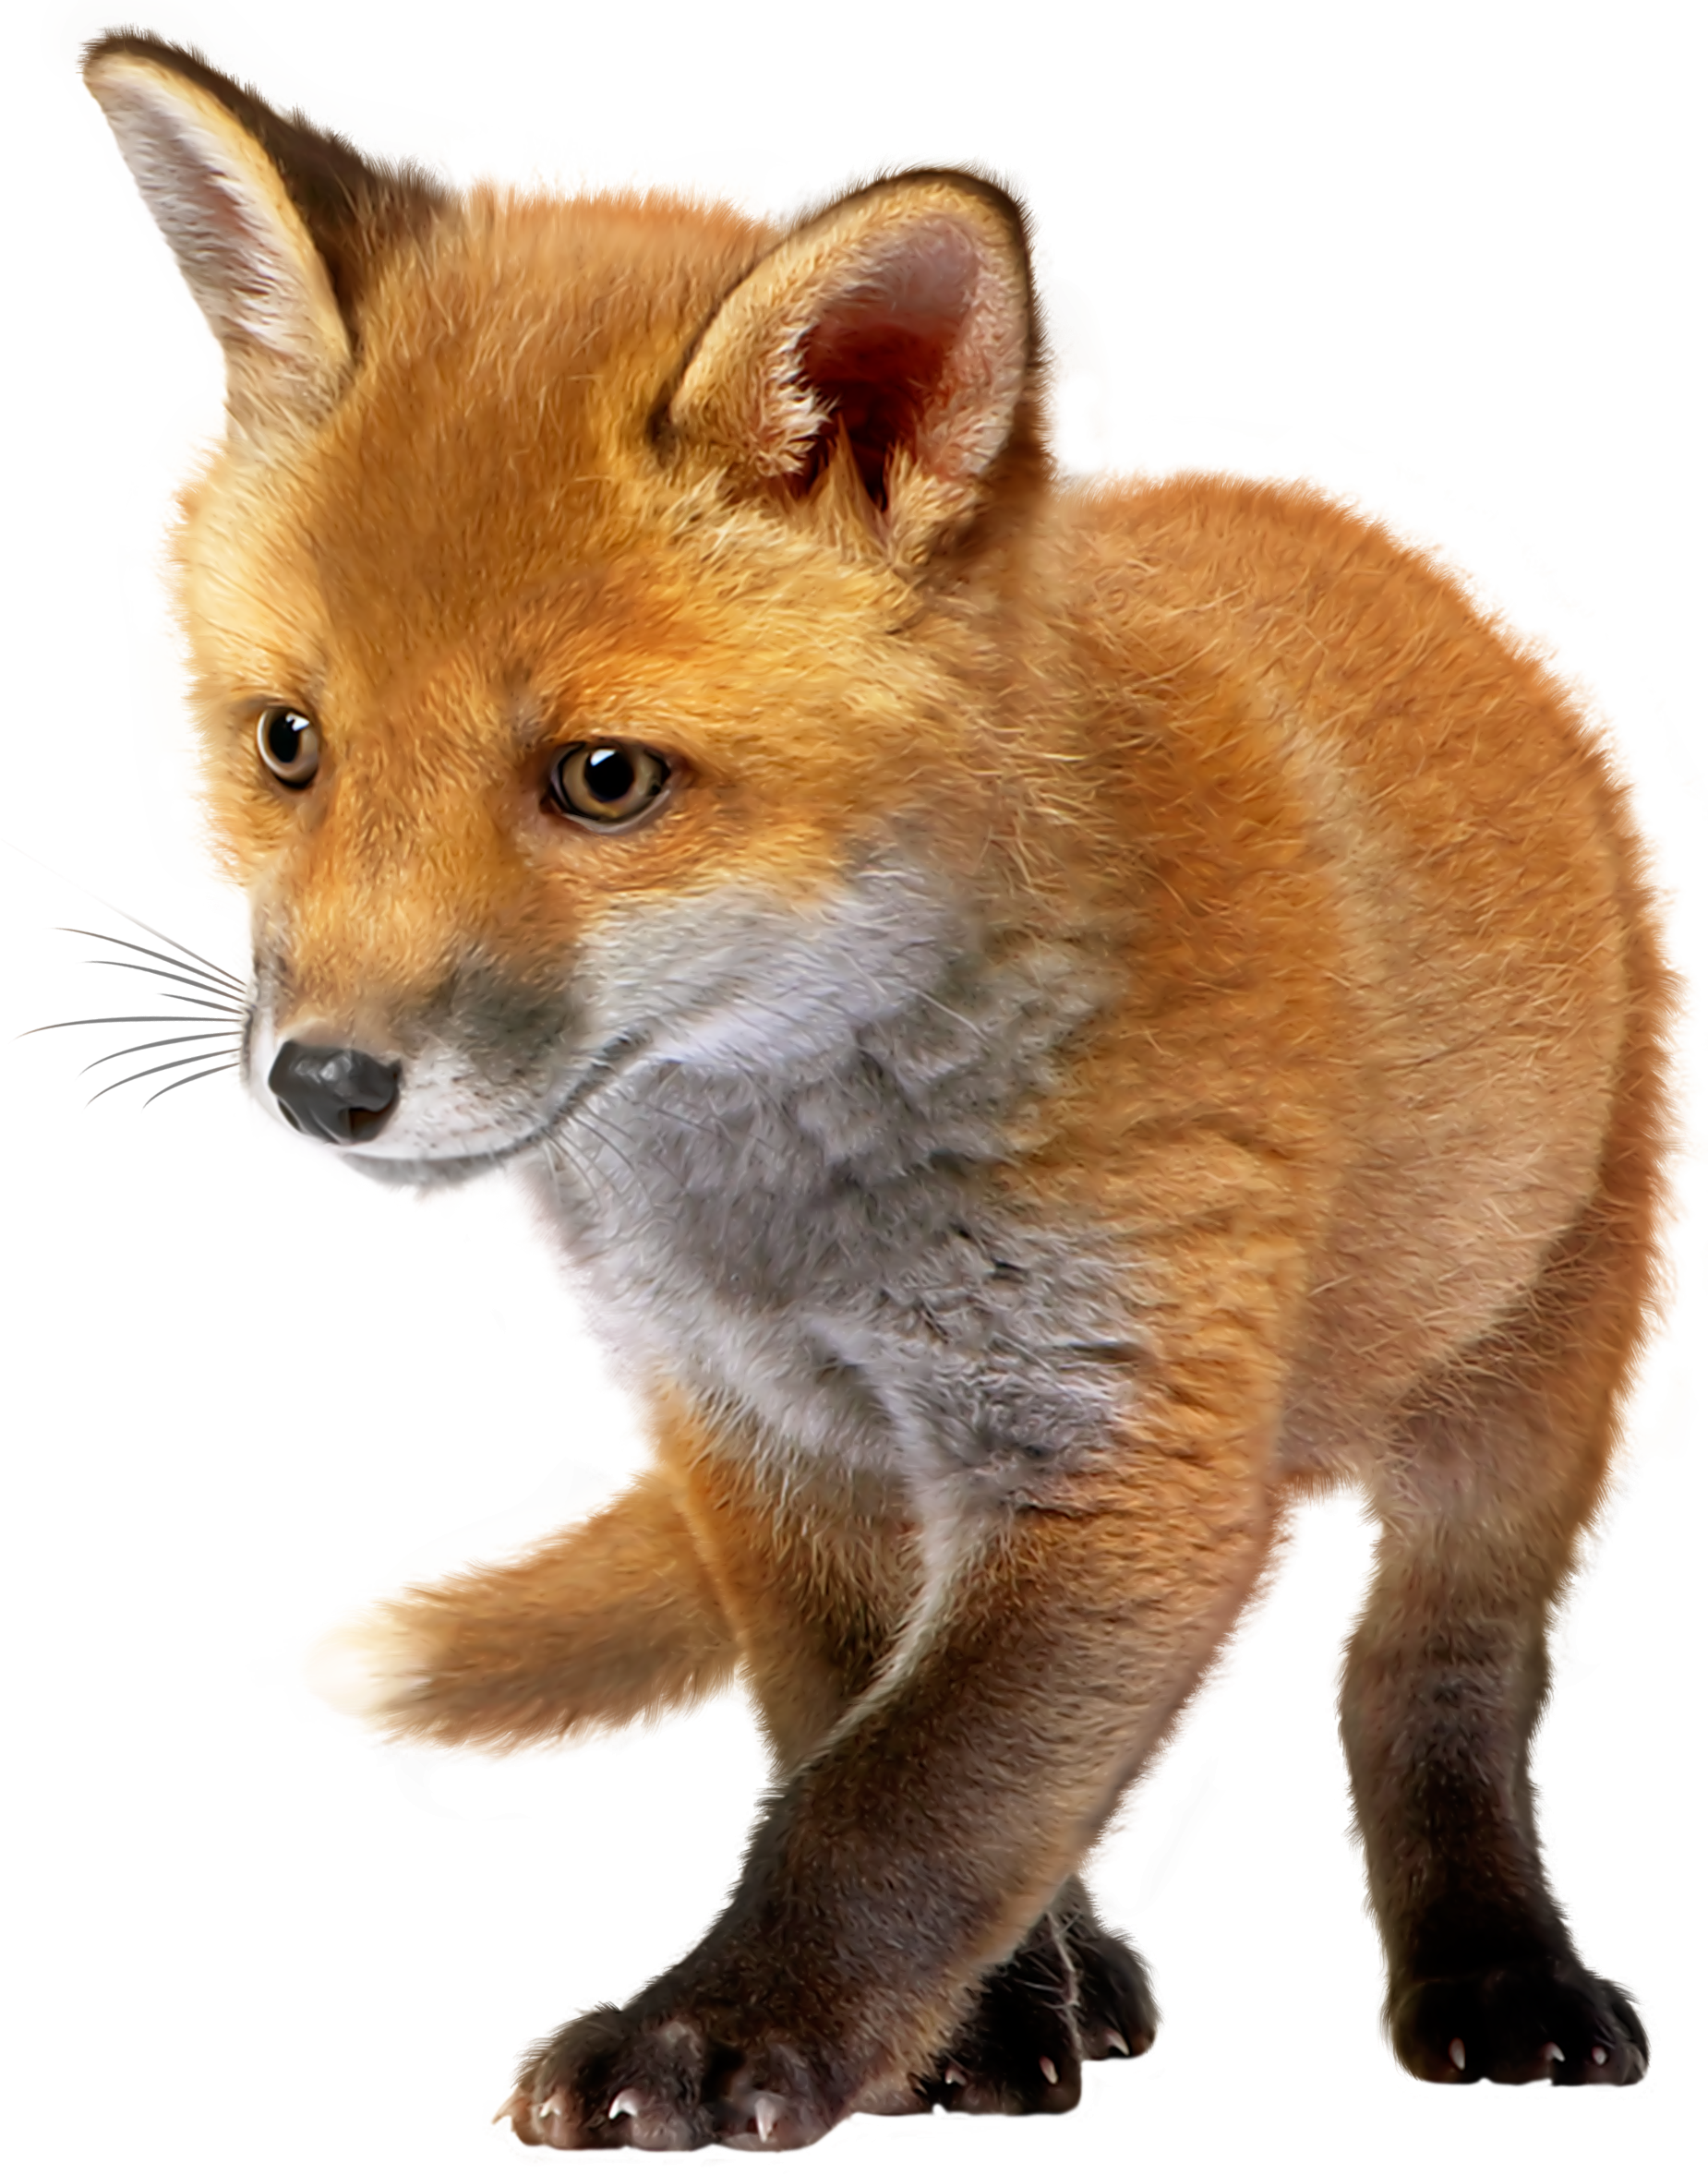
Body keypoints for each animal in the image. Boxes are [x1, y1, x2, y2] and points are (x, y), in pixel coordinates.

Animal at [60, 5, 1692, 2146]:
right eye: (286, 744)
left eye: (604, 779)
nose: (329, 1084)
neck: (792, 1212)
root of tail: (1433, 560)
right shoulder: (770, 1435)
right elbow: (863, 1733)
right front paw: (979, 2021)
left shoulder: (1110, 1444)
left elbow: (901, 1802)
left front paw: (721, 2037)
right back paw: (1096, 1968)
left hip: (1527, 1374)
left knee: (1428, 1677)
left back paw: (1496, 1975)